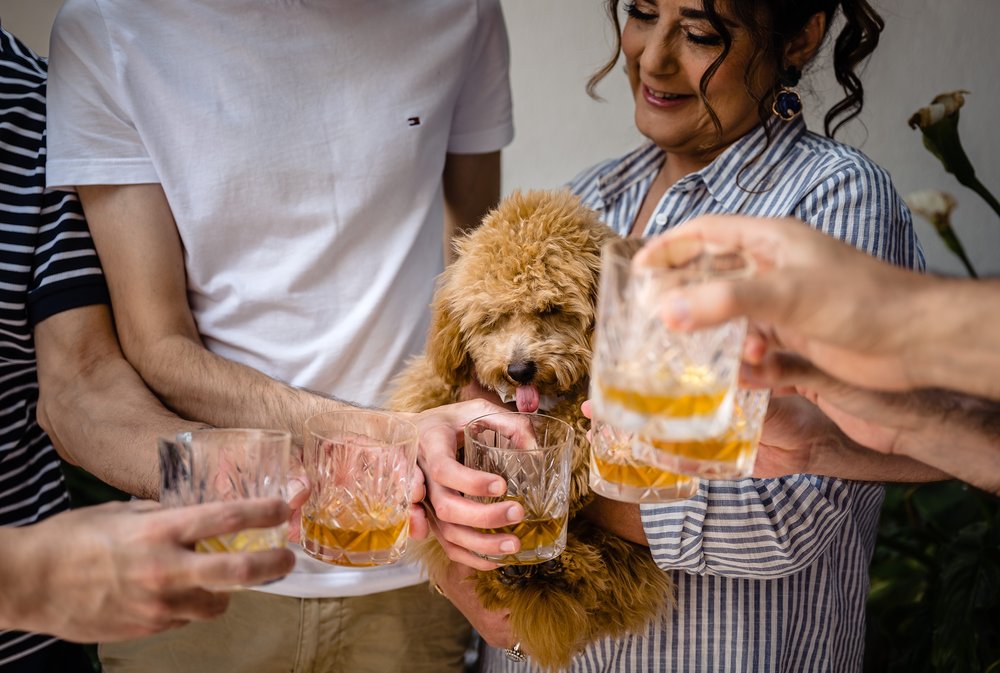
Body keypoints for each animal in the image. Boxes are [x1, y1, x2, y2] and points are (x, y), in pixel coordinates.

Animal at [386, 188, 668, 668]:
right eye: (493, 318)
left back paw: (555, 566)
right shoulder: (438, 378)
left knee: (608, 578)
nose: (519, 370)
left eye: (552, 309)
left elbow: (582, 427)